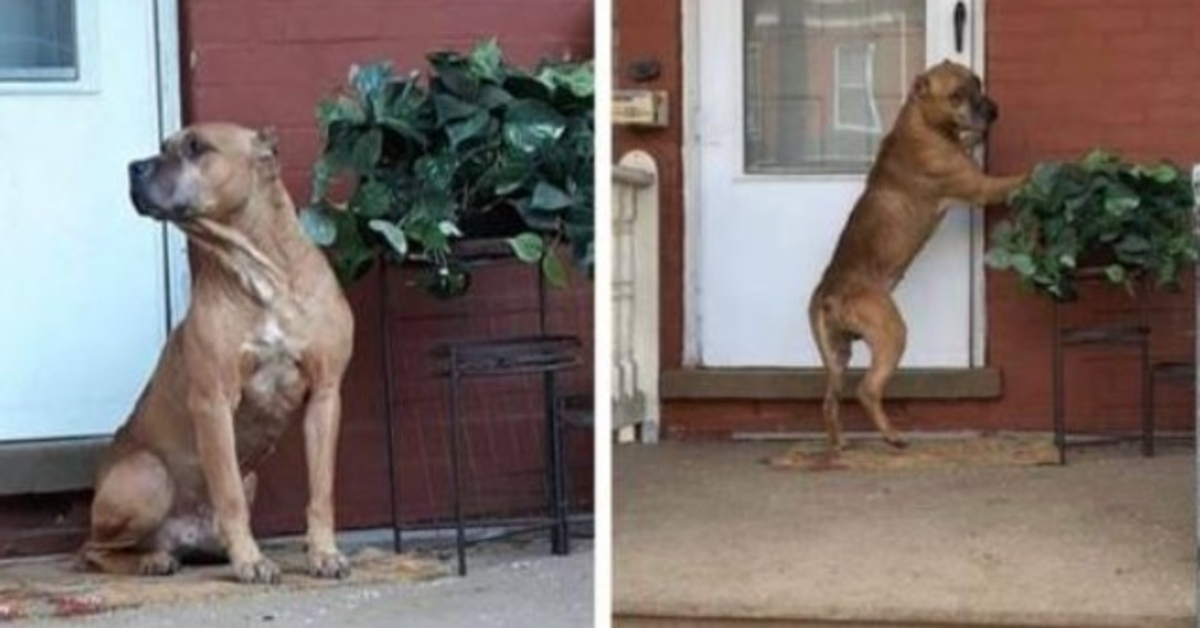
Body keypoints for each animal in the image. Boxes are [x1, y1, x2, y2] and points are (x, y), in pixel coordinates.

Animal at [77, 123, 350, 585]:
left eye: (196, 147)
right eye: (164, 147)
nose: (135, 167)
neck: (261, 273)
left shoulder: (325, 394)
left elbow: (322, 489)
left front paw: (323, 552)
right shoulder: (214, 401)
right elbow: (228, 493)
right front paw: (251, 561)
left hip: (250, 475)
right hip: (148, 476)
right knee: (93, 551)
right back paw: (152, 560)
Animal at [806, 61, 1022, 453]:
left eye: (978, 83)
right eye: (956, 95)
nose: (993, 110)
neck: (921, 122)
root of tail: (830, 293)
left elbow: (968, 142)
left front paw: (975, 138)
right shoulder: (982, 187)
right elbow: (1018, 179)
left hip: (836, 356)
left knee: (830, 400)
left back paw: (839, 443)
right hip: (892, 333)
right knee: (868, 389)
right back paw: (892, 436)